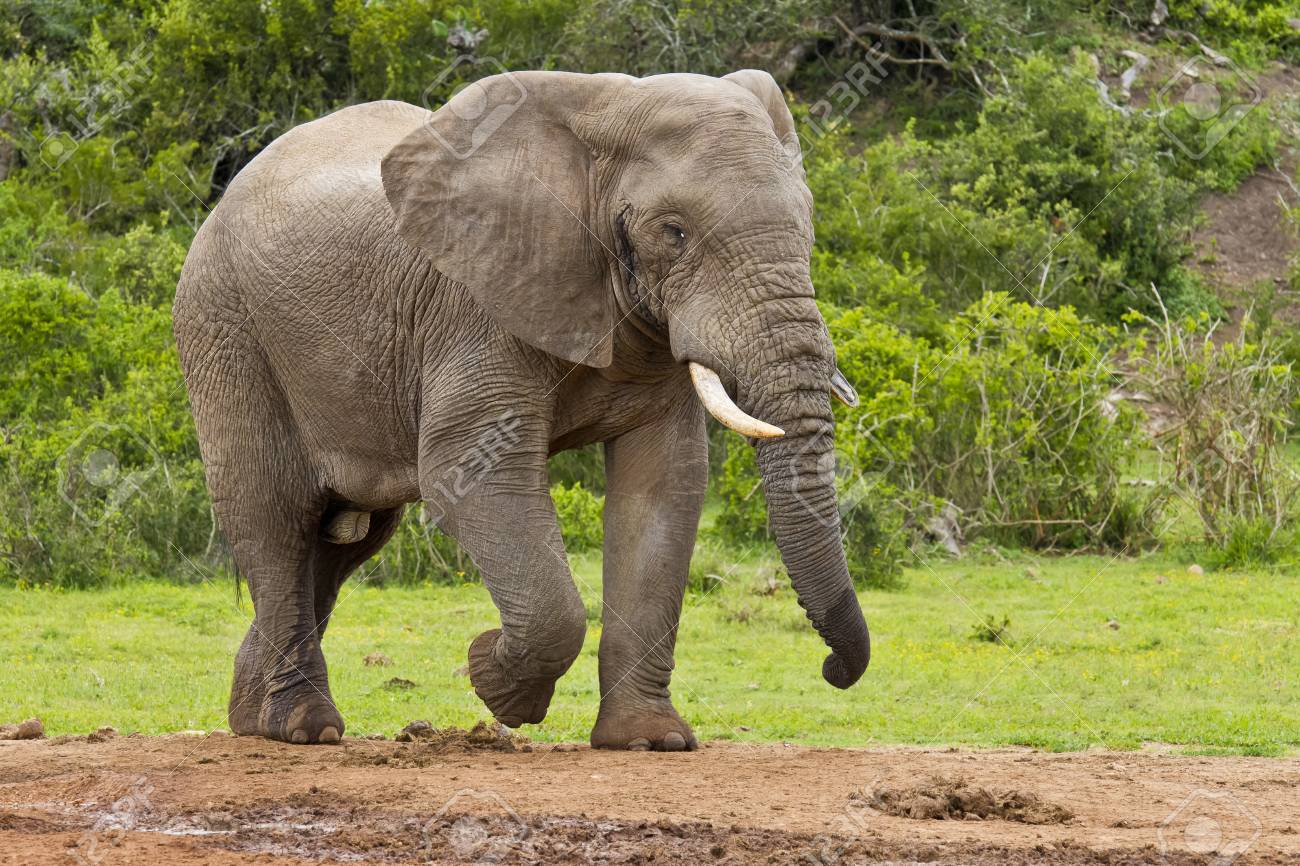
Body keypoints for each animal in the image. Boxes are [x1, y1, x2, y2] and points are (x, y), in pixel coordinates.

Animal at [167, 67, 868, 743]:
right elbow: (471, 473)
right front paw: (493, 681)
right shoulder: (475, 306)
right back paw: (304, 728)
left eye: (808, 226)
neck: (601, 116)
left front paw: (650, 741)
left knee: (342, 544)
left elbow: (662, 486)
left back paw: (253, 720)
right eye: (674, 232)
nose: (832, 668)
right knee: (277, 518)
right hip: (224, 325)